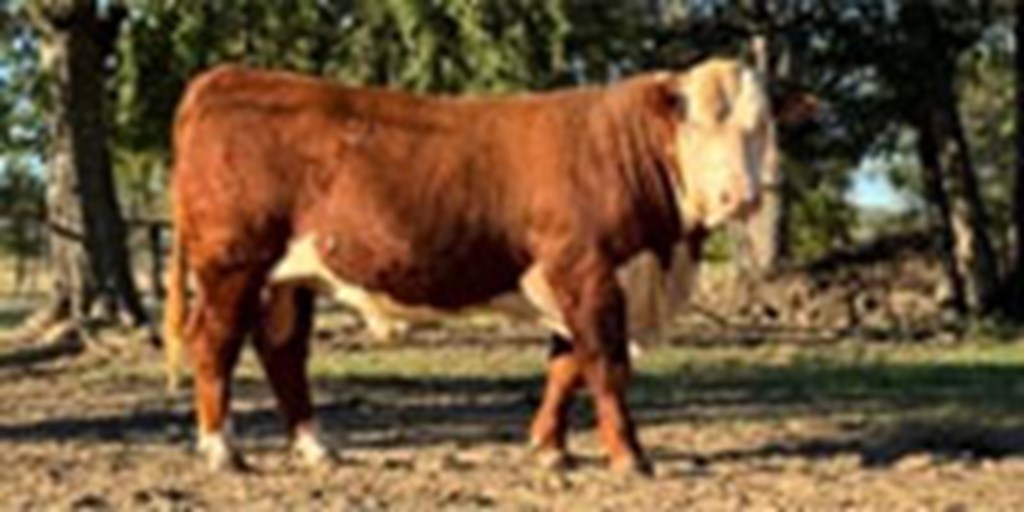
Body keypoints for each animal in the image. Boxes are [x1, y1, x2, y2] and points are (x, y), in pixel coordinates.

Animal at [161, 58, 790, 473]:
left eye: (760, 127)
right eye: (697, 124)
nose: (740, 197)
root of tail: (226, 78)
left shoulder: (575, 281)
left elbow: (565, 367)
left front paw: (550, 449)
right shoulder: (586, 271)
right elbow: (605, 365)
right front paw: (630, 457)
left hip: (289, 278)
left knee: (282, 352)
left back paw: (316, 447)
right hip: (232, 264)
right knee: (214, 341)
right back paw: (222, 449)